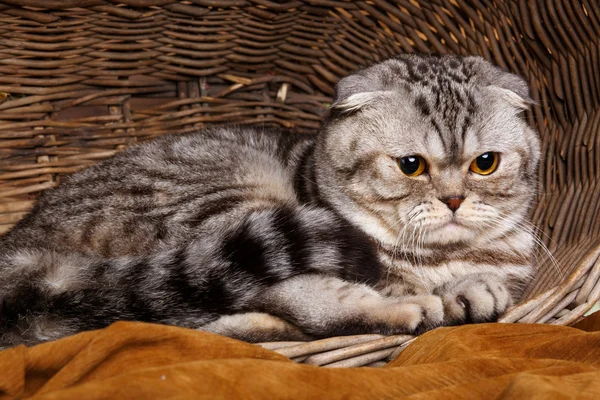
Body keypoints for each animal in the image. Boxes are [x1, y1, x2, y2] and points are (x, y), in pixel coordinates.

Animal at [0, 54, 540, 346]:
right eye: (411, 165)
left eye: (485, 163)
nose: (453, 199)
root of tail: (23, 243)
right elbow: (382, 285)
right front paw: (447, 295)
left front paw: (470, 292)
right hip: (218, 201)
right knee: (293, 299)